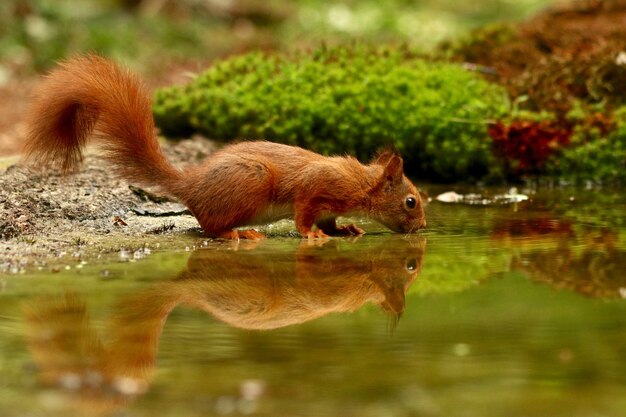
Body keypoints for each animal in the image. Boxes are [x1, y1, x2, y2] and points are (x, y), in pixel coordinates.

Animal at [22, 53, 426, 239]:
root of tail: (191, 186)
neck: (361, 183)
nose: (423, 227)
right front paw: (312, 235)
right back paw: (238, 233)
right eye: (411, 201)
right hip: (250, 184)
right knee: (210, 227)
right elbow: (304, 213)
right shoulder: (316, 188)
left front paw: (345, 230)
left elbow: (331, 220)